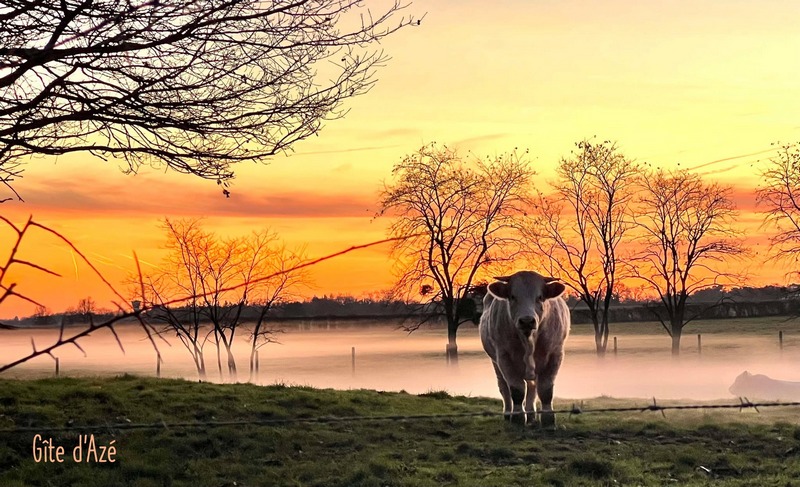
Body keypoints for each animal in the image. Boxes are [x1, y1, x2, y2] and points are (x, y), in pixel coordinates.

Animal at [479, 270, 570, 427]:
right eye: (512, 297)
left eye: (540, 297)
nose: (527, 321)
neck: (529, 341)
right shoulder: (504, 357)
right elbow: (516, 390)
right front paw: (518, 417)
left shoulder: (555, 355)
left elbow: (546, 390)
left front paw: (548, 419)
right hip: (495, 362)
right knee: (504, 387)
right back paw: (508, 413)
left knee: (532, 387)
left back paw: (532, 415)